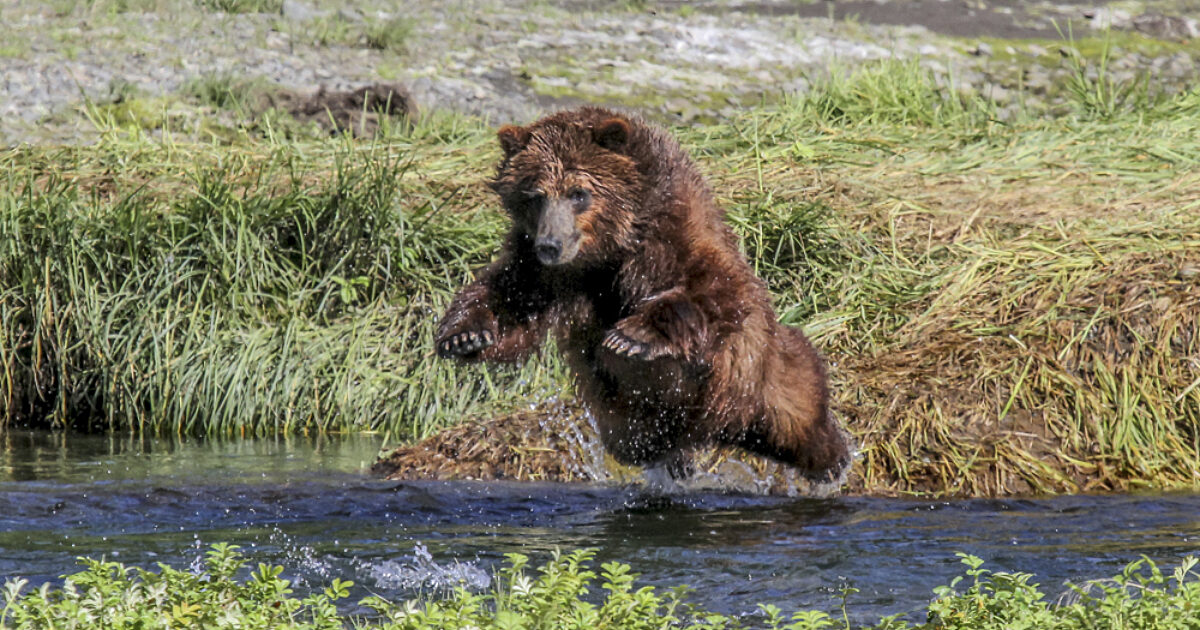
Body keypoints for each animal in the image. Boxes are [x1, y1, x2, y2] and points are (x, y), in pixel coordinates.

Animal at [435, 106, 852, 484]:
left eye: (578, 193)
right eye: (535, 195)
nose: (550, 244)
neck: (608, 250)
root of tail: (720, 428)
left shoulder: (673, 234)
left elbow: (716, 287)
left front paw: (631, 337)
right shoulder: (548, 272)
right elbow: (512, 297)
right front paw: (464, 334)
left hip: (761, 377)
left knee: (798, 410)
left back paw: (834, 460)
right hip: (622, 414)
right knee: (638, 440)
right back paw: (675, 460)